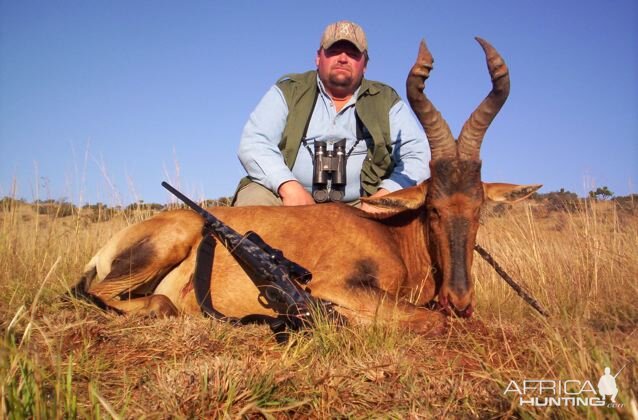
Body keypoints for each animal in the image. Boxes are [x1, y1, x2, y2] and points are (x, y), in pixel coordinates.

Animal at [72, 38, 544, 334]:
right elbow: (427, 319)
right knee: (119, 297)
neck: (390, 233)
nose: (460, 300)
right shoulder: (335, 287)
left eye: (479, 208)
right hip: (167, 244)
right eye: (433, 209)